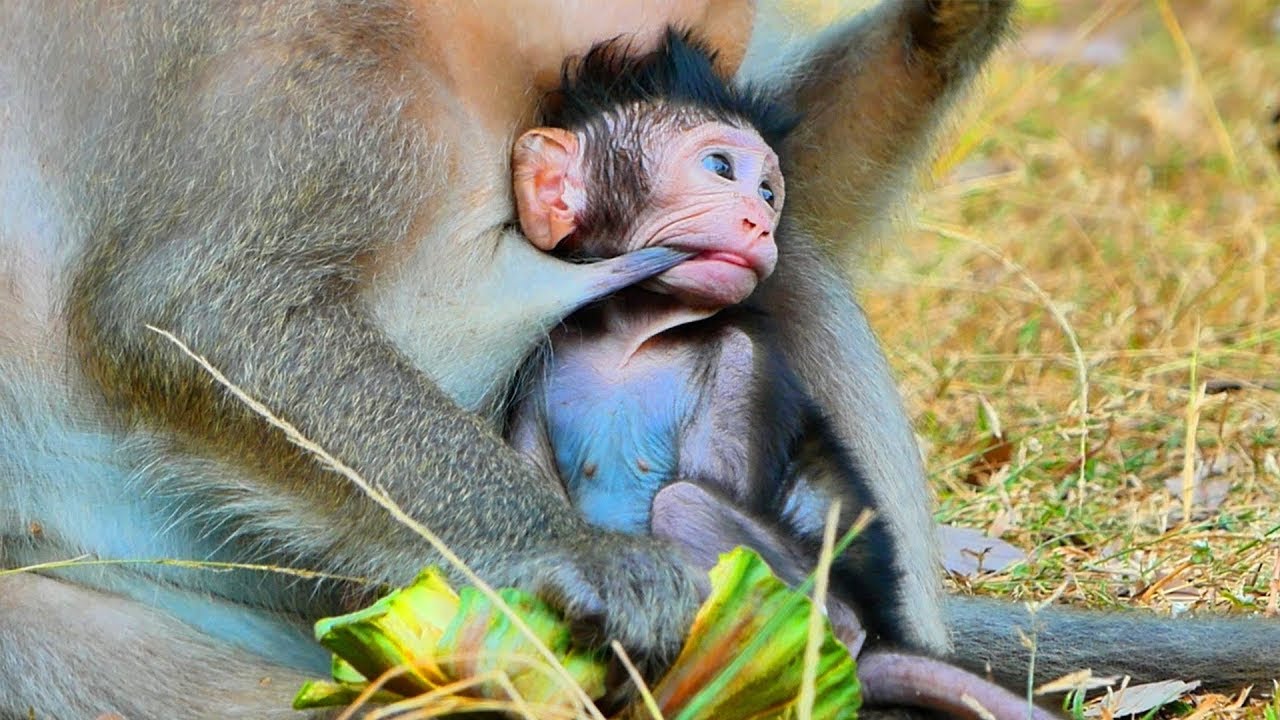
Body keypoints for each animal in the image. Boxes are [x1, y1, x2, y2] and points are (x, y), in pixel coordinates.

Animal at [3, 1, 1276, 718]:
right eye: (712, 171)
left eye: (752, 181)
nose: (748, 209)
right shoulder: (310, 57)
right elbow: (191, 306)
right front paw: (575, 550)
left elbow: (805, 190)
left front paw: (946, 16)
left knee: (789, 282)